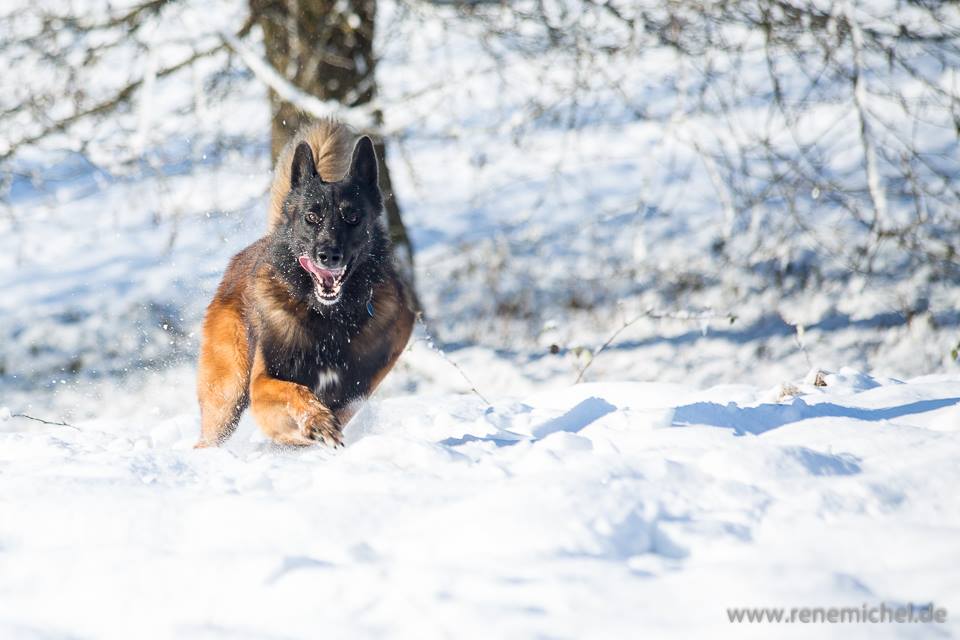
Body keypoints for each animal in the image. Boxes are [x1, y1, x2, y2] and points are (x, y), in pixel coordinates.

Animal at [197, 121, 414, 450]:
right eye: (312, 216)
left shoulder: (380, 358)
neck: (327, 318)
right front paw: (316, 422)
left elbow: (348, 400)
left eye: (353, 216)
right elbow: (294, 391)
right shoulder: (262, 383)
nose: (328, 255)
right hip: (227, 395)